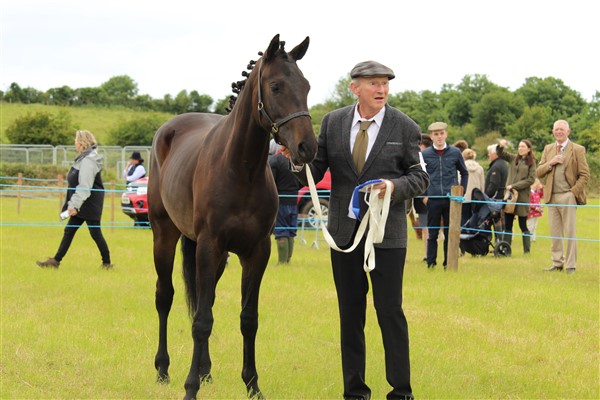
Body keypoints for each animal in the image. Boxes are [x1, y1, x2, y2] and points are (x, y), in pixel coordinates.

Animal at [148, 34, 317, 400]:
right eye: (276, 86)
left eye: (307, 86)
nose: (307, 148)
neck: (242, 169)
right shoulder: (209, 246)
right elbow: (201, 321)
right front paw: (190, 387)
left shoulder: (256, 252)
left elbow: (247, 318)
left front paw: (253, 385)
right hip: (164, 236)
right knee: (165, 297)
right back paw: (164, 369)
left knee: (203, 299)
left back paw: (206, 370)